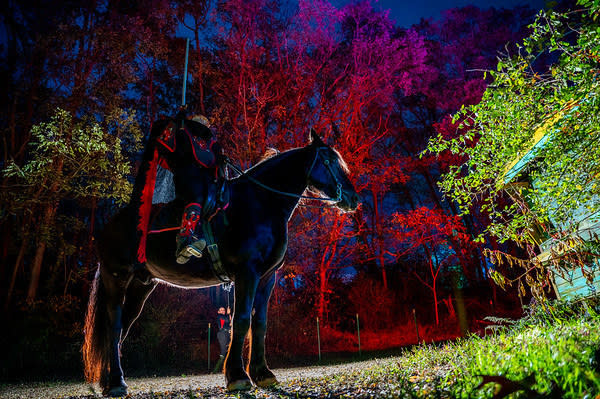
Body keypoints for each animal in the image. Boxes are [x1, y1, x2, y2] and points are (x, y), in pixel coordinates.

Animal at [82, 129, 358, 396]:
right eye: (329, 160)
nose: (353, 198)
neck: (260, 203)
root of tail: (108, 226)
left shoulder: (267, 277)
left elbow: (260, 323)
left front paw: (262, 373)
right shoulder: (247, 273)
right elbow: (242, 320)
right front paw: (238, 376)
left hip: (141, 286)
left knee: (120, 329)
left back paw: (110, 381)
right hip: (117, 279)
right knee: (114, 327)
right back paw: (115, 382)